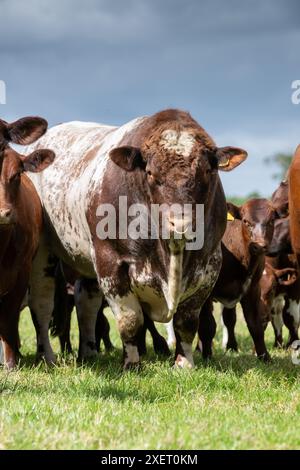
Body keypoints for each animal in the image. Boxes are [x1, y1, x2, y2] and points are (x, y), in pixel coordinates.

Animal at [198, 198, 280, 360]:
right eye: (246, 221)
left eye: (271, 220)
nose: (259, 246)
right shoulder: (206, 291)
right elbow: (207, 325)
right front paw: (207, 356)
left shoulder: (252, 288)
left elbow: (254, 324)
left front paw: (264, 356)